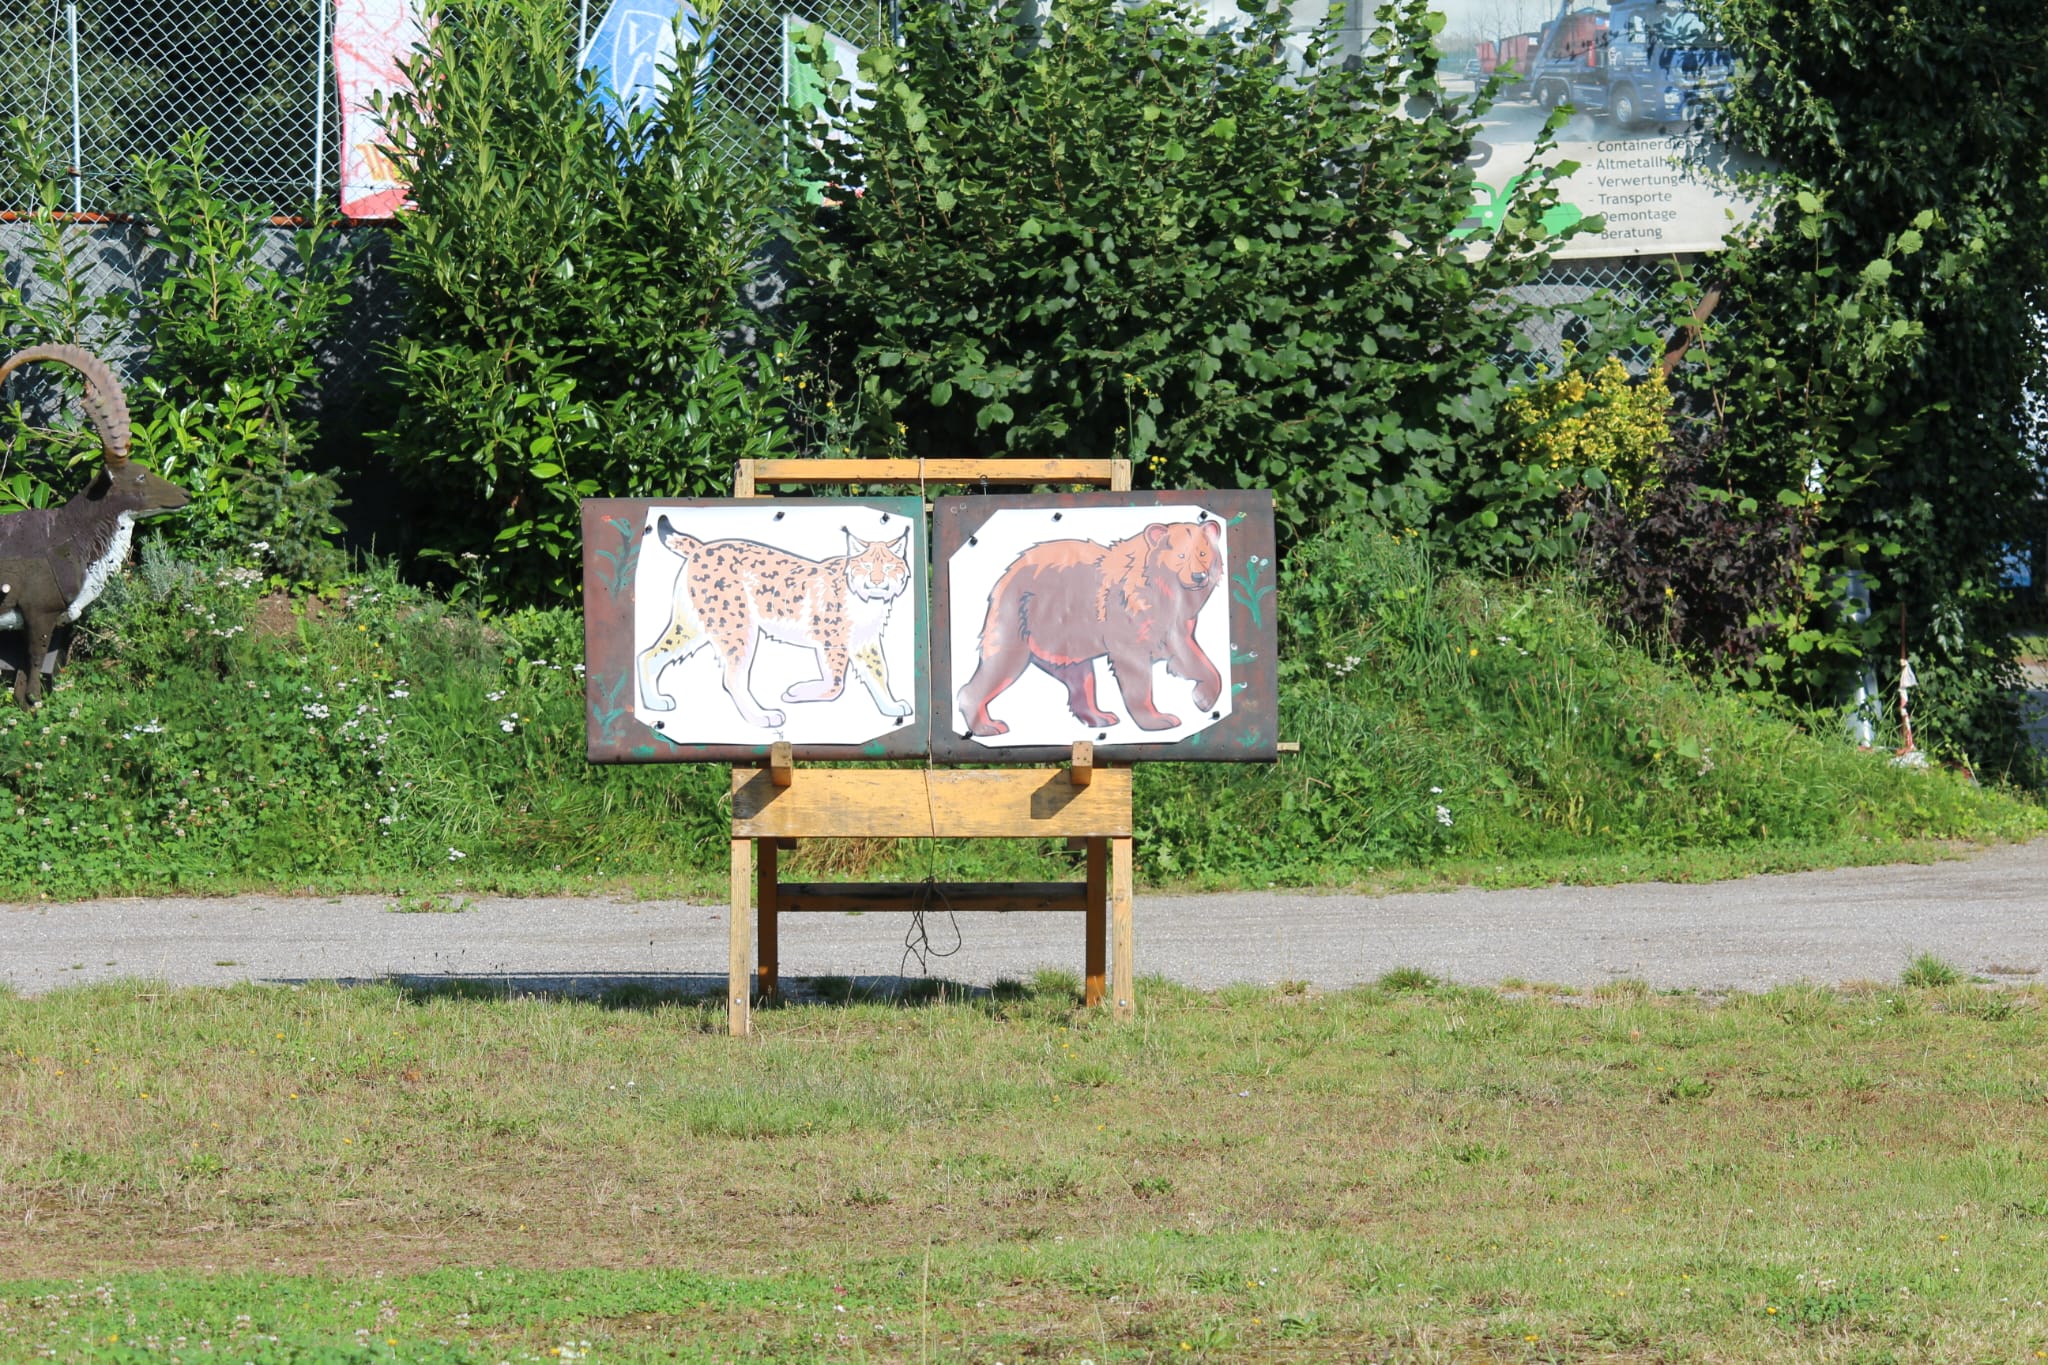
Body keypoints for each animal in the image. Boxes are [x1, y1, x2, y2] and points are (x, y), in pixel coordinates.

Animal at [636, 518, 915, 730]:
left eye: (889, 567)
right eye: (866, 566)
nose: (877, 581)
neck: (868, 600)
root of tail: (701, 546)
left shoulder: (864, 642)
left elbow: (879, 673)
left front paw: (891, 707)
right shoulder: (831, 639)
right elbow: (837, 683)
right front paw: (797, 692)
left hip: (697, 623)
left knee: (648, 655)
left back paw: (653, 702)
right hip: (736, 623)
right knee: (732, 677)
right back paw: (761, 717)